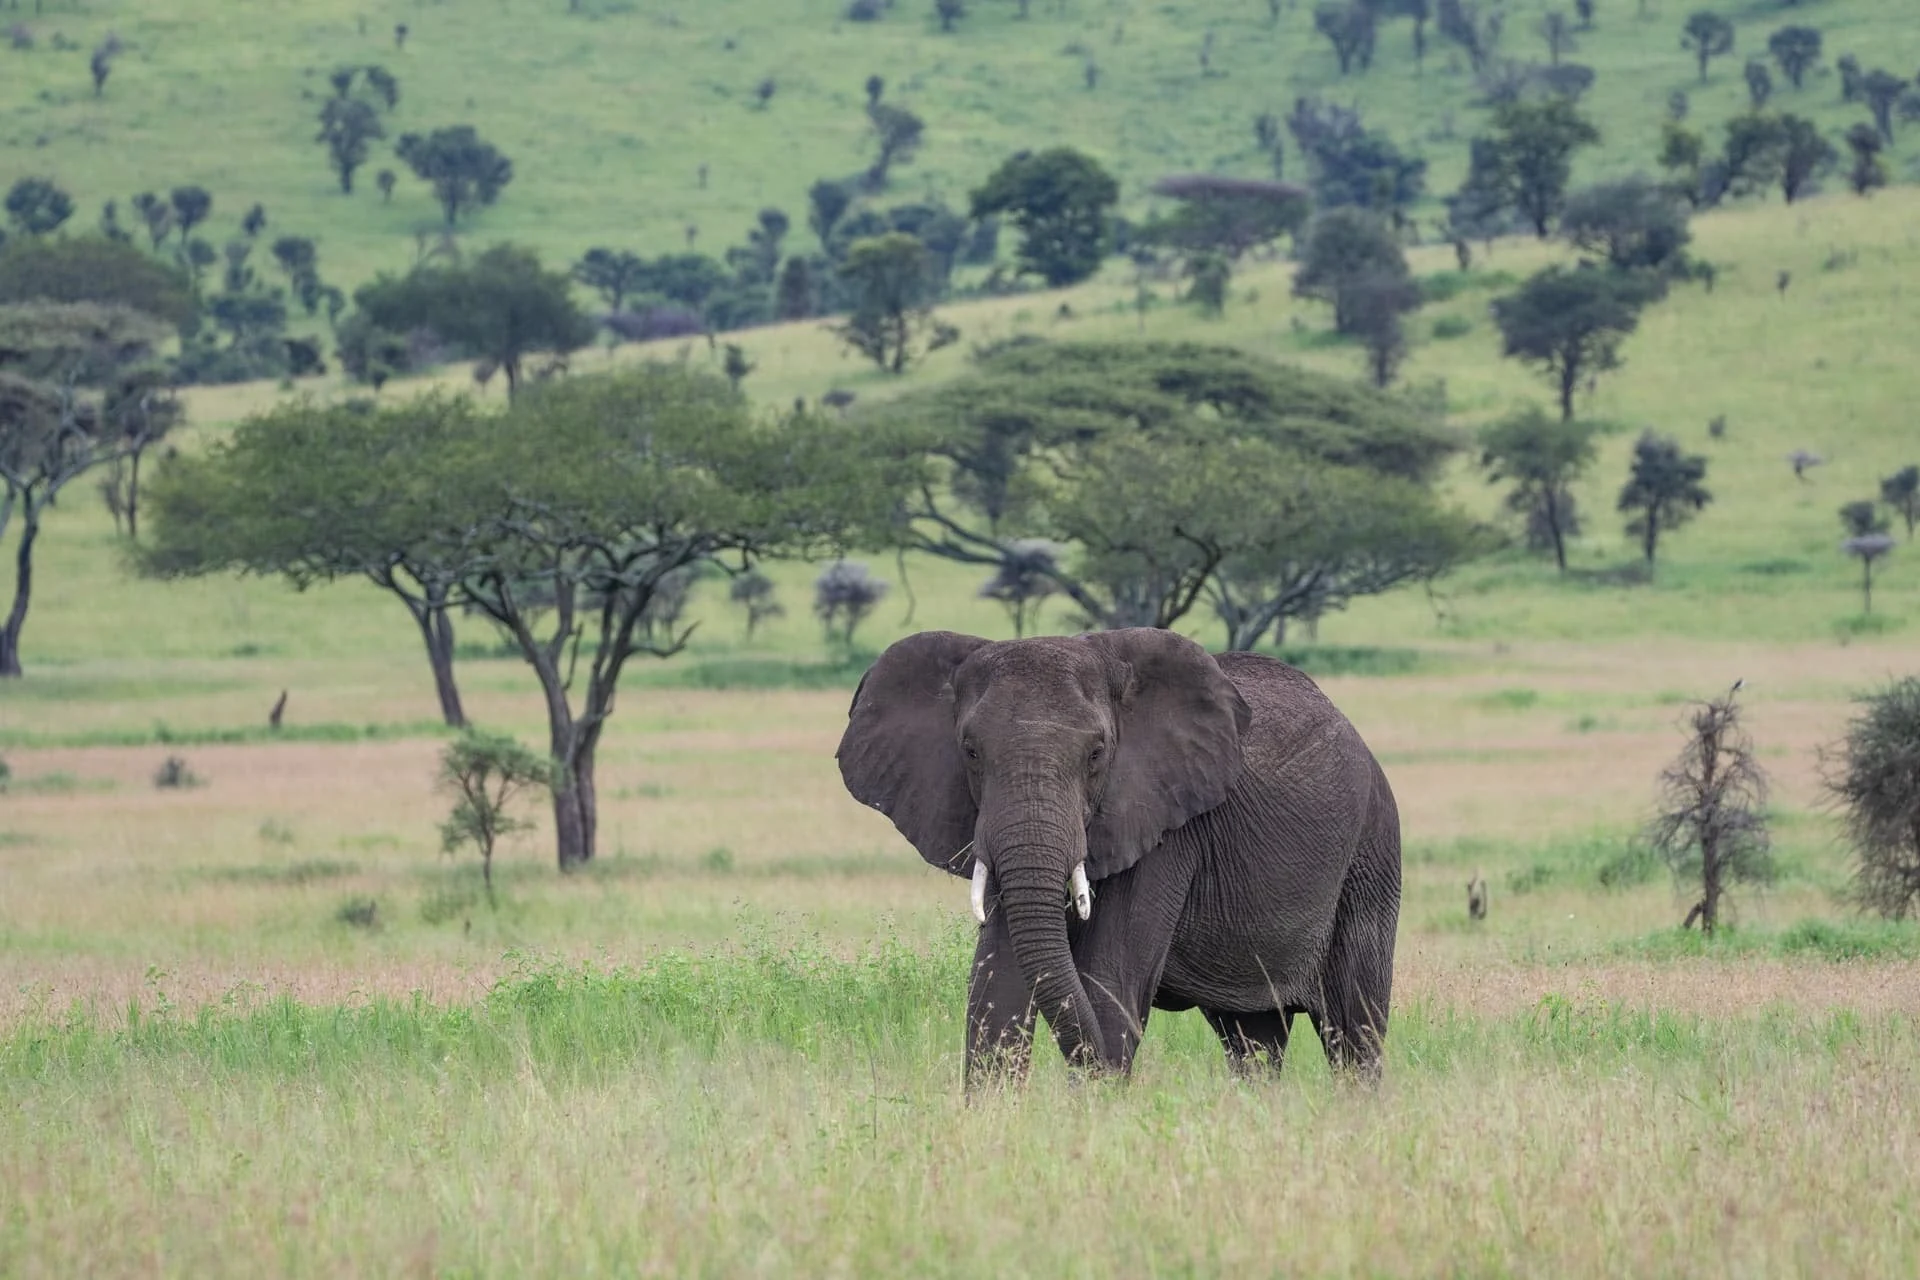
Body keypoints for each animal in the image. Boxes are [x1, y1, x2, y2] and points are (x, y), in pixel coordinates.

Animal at [836, 627, 1402, 1087]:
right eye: (970, 752)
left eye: (1096, 755)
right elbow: (996, 989)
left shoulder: (1166, 826)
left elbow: (1108, 985)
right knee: (1253, 1039)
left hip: (1371, 851)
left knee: (1353, 1029)